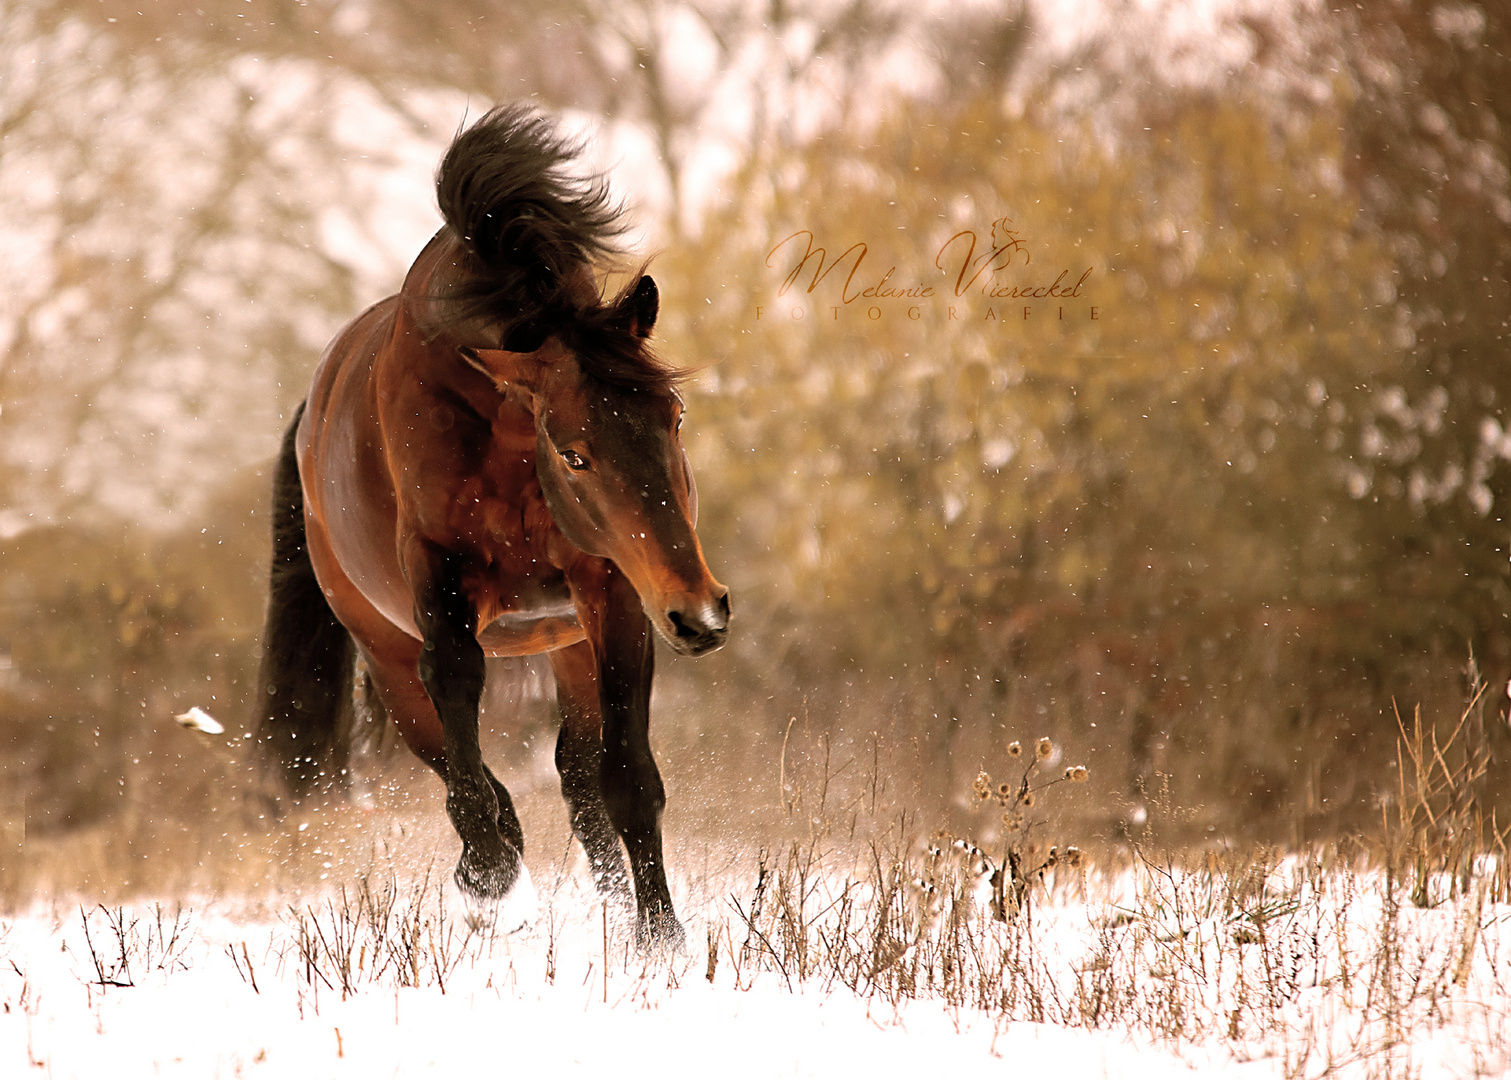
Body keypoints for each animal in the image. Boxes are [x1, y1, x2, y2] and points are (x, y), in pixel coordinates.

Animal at [252, 103, 725, 948]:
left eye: (673, 417)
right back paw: (492, 860)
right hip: (381, 643)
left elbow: (627, 777)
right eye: (573, 453)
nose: (700, 613)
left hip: (565, 639)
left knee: (577, 775)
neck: (506, 438)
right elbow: (457, 699)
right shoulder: (438, 590)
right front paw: (488, 870)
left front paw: (659, 939)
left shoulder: (611, 591)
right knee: (445, 750)